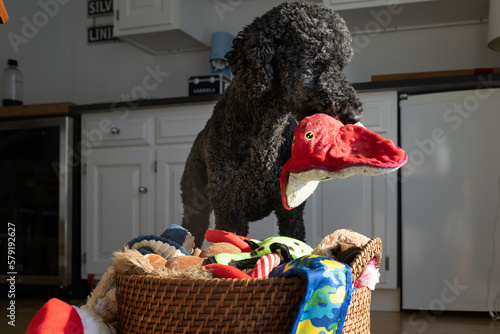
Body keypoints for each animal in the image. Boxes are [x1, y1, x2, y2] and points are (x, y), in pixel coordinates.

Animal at [182, 2, 362, 247]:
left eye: (341, 66)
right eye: (314, 61)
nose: (354, 114)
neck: (265, 132)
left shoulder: (291, 211)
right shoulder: (229, 210)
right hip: (195, 208)